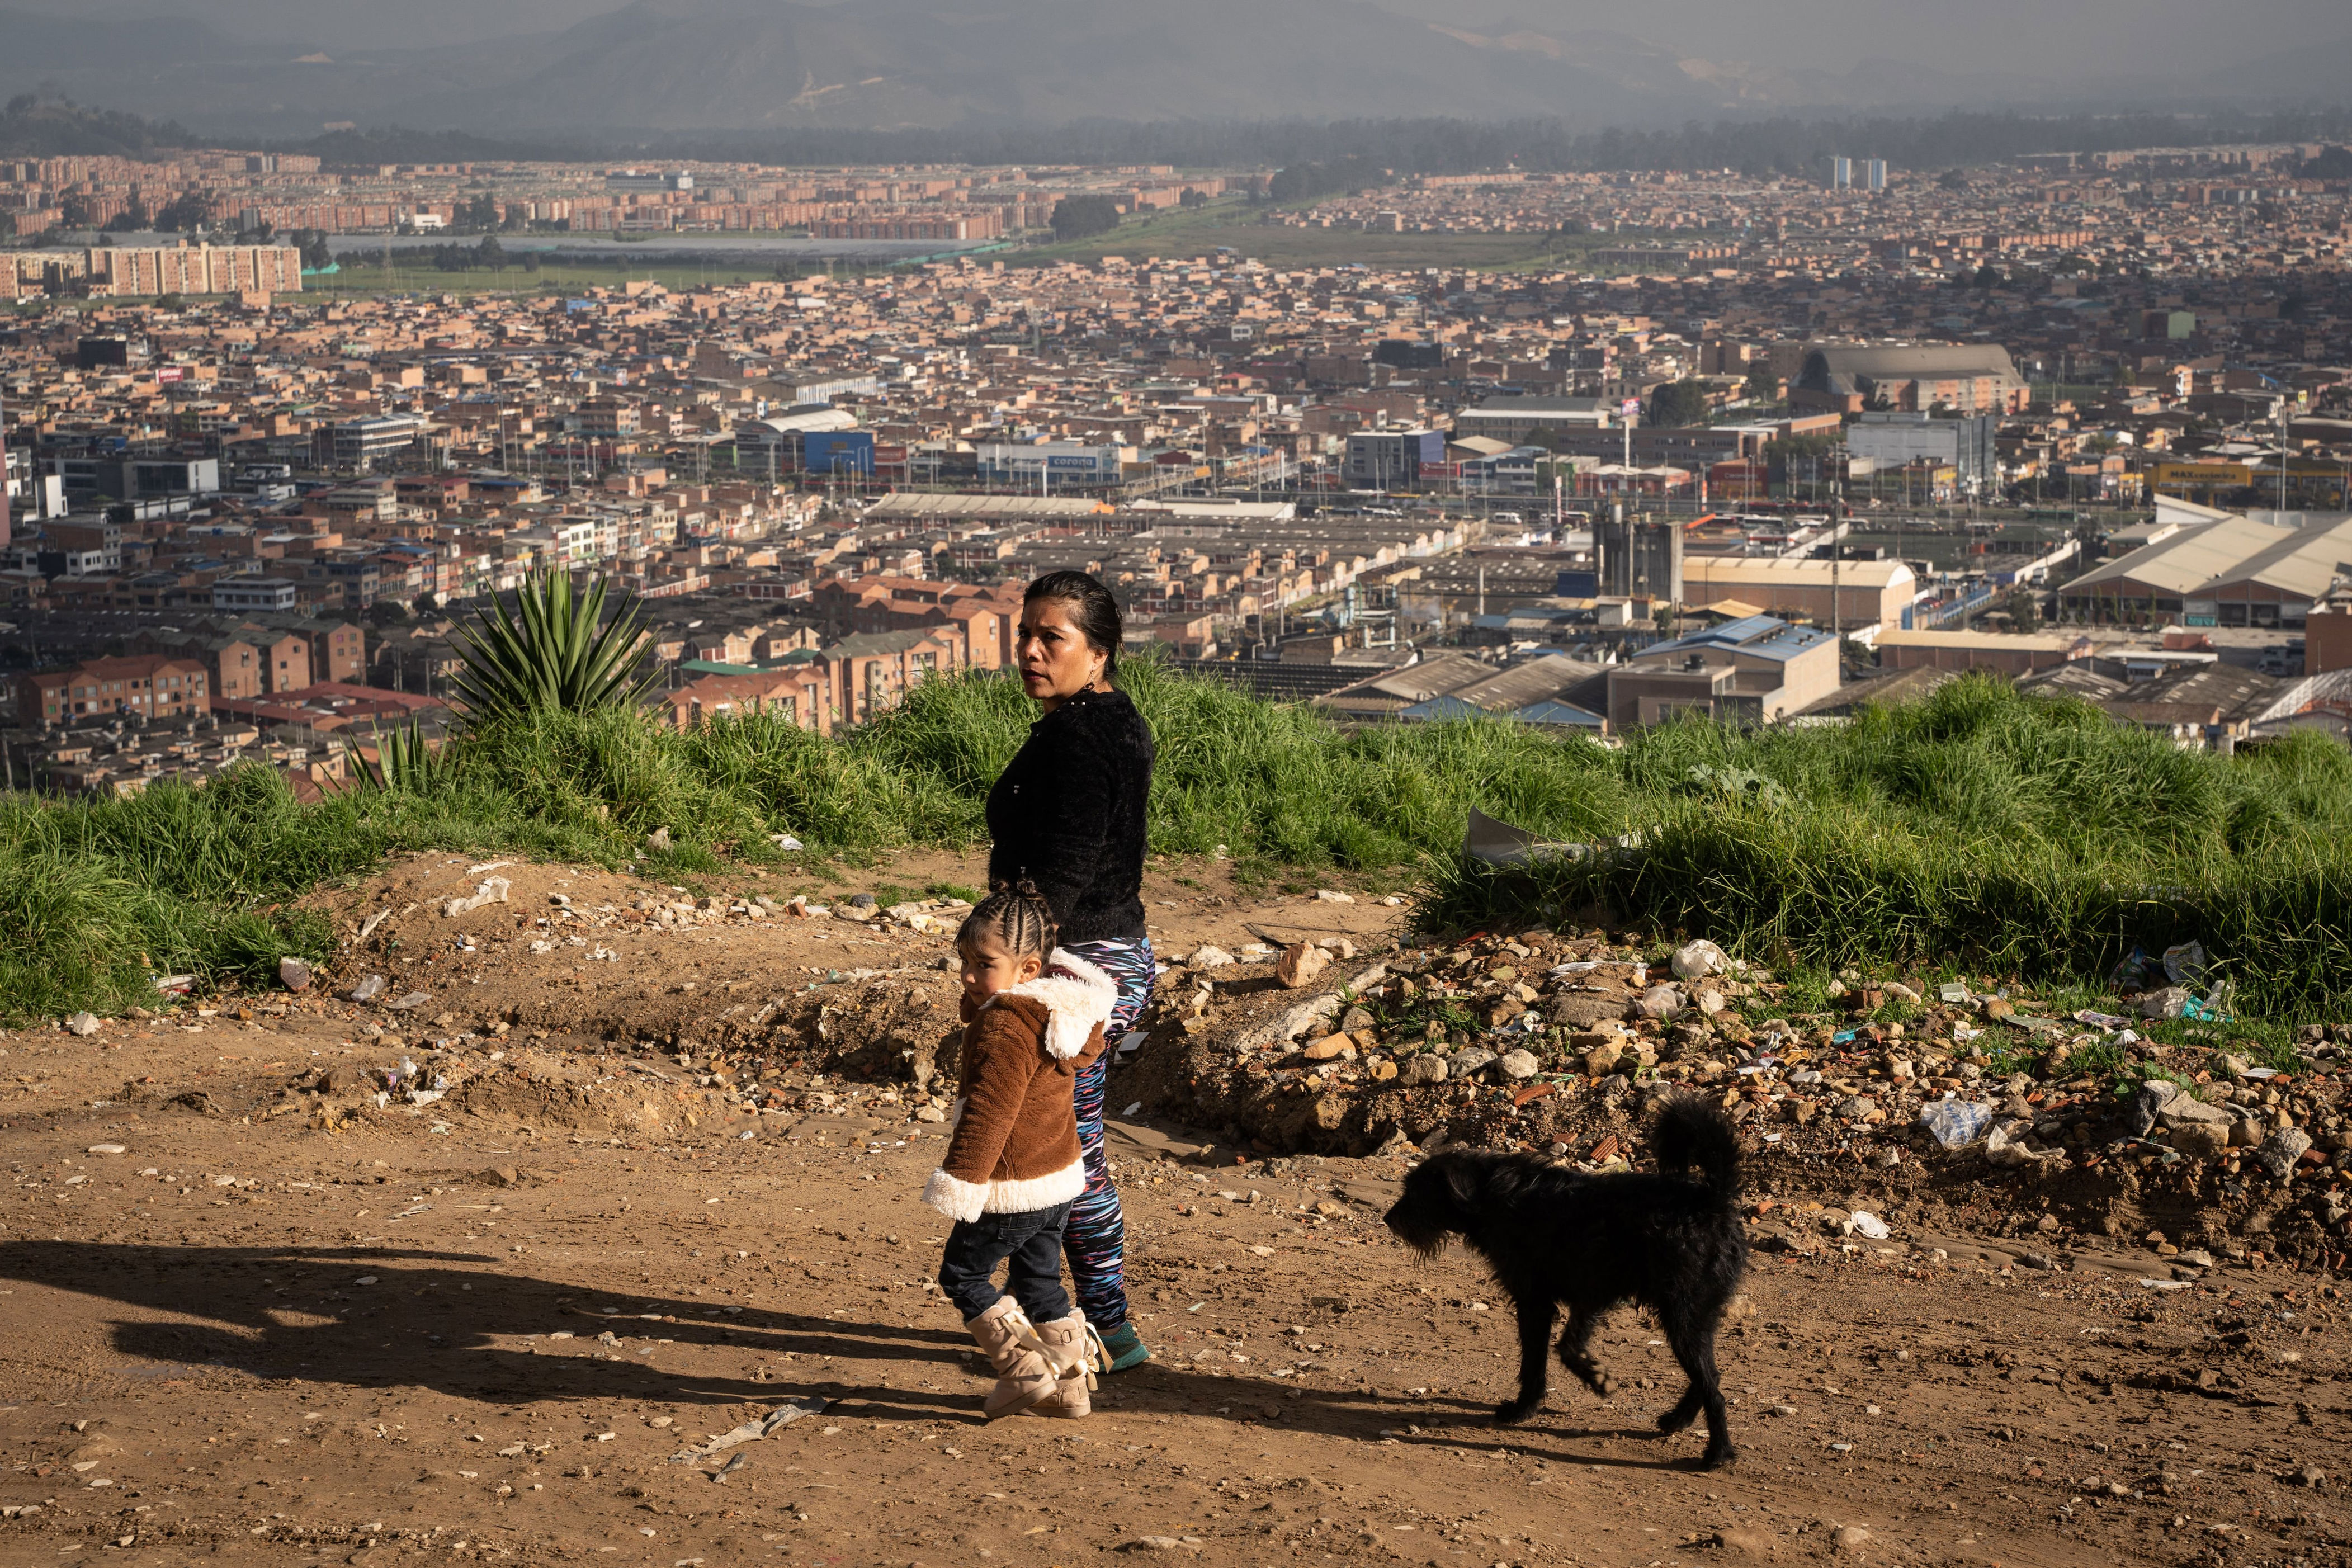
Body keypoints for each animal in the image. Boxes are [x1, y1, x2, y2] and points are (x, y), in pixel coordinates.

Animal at [1373, 1100, 1750, 1467]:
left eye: (1417, 1193)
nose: (1388, 1219)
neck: (1489, 1196)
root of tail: (1713, 1201)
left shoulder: (1544, 1299)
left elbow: (1544, 1355)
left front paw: (1529, 1406)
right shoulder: (1588, 1295)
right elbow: (1562, 1346)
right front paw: (1574, 1383)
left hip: (1682, 1313)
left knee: (1712, 1387)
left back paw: (1717, 1454)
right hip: (1697, 1313)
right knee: (1710, 1376)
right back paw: (1678, 1420)